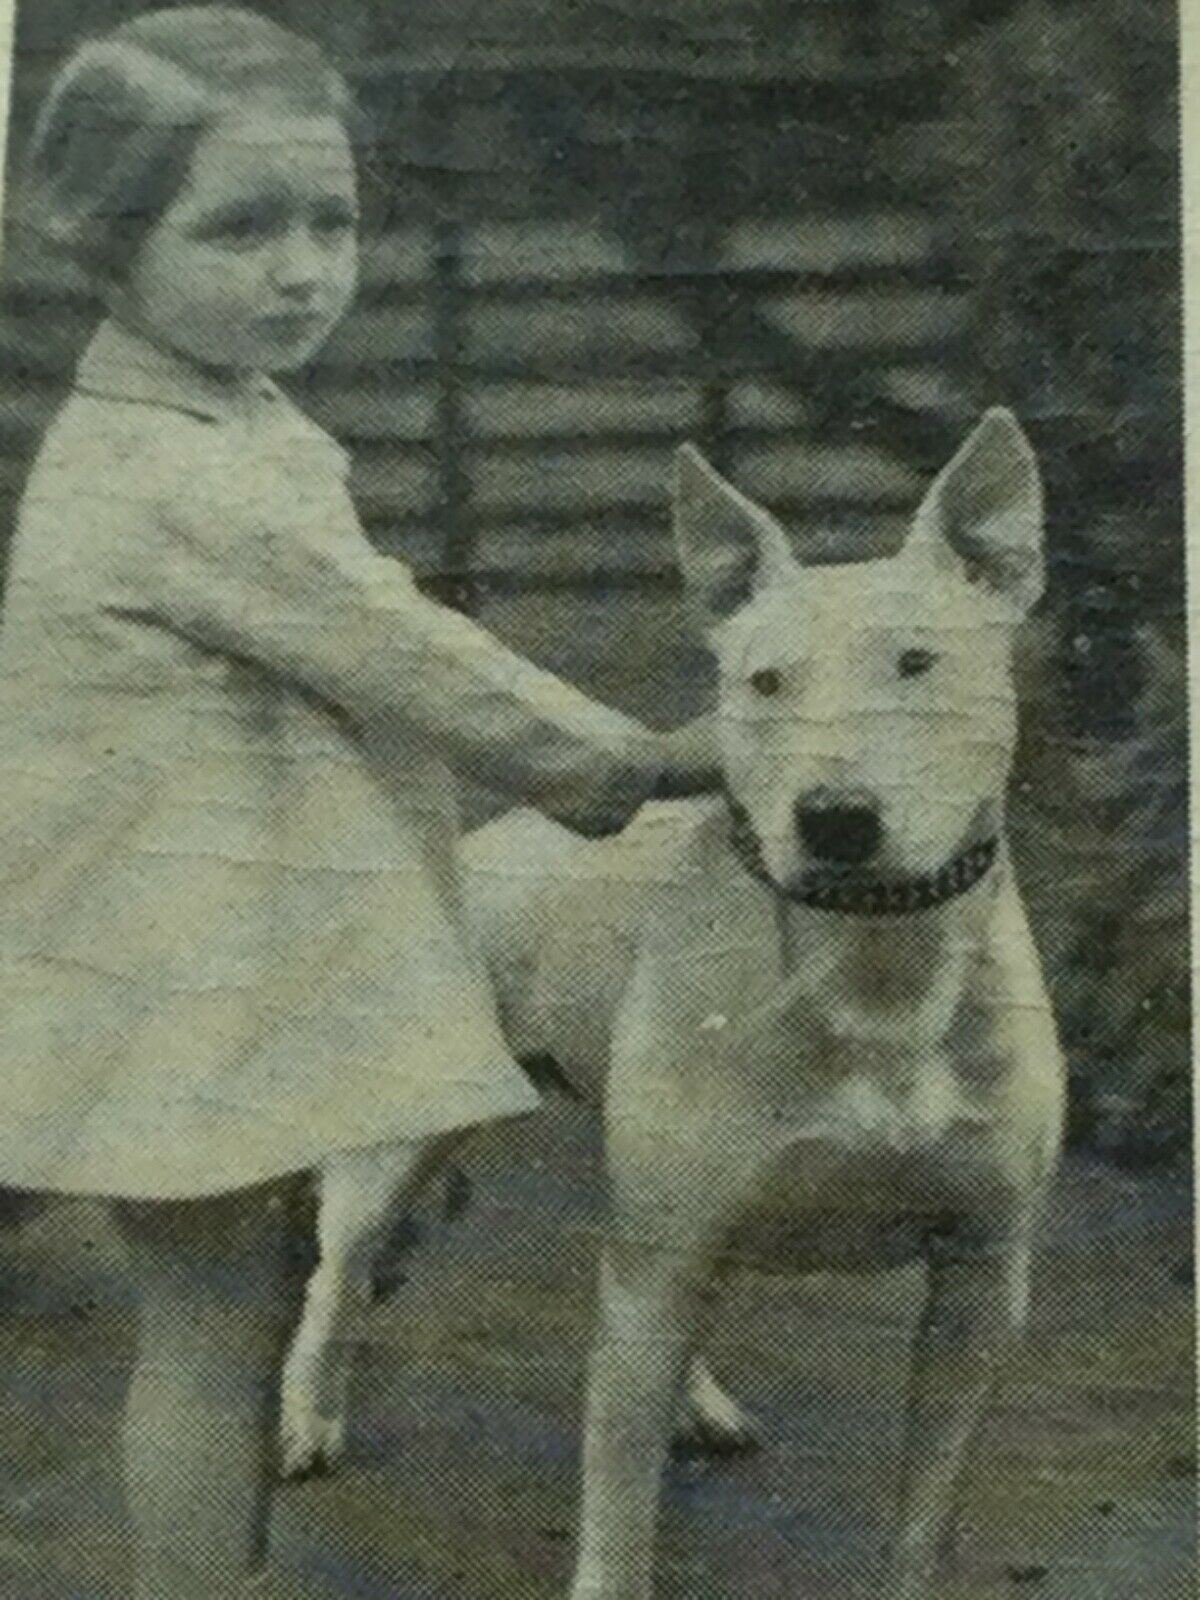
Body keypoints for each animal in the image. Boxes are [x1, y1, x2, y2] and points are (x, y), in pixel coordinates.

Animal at [284, 416, 1068, 1600]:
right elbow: (618, 1516)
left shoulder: (980, 1284)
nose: (836, 817)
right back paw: (308, 1419)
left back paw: (697, 1402)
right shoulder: (654, 1274)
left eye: (919, 661)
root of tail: (486, 847)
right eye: (765, 681)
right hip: (406, 1146)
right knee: (338, 1275)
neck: (873, 961)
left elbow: (925, 1518)